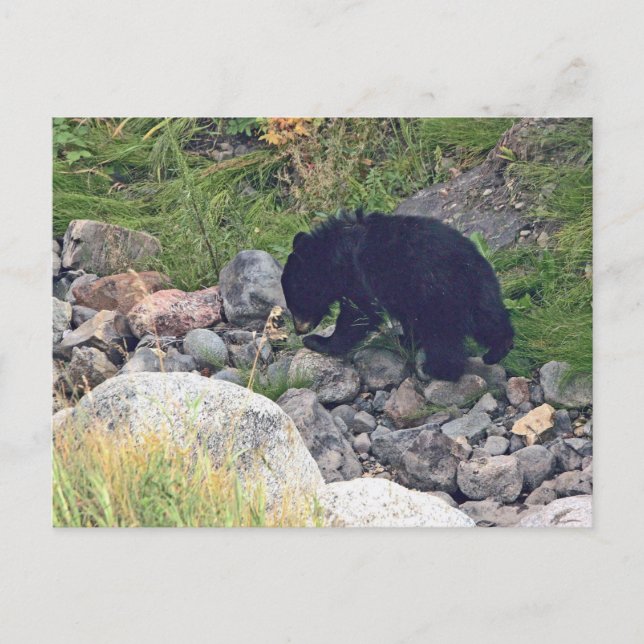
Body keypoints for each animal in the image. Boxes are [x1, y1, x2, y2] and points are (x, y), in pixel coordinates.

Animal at [280, 210, 514, 382]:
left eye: (294, 303)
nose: (299, 330)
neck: (330, 253)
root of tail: (467, 269)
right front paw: (404, 338)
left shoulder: (357, 276)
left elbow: (358, 314)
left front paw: (319, 342)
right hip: (481, 290)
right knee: (490, 320)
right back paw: (497, 350)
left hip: (437, 297)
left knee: (442, 338)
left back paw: (437, 370)